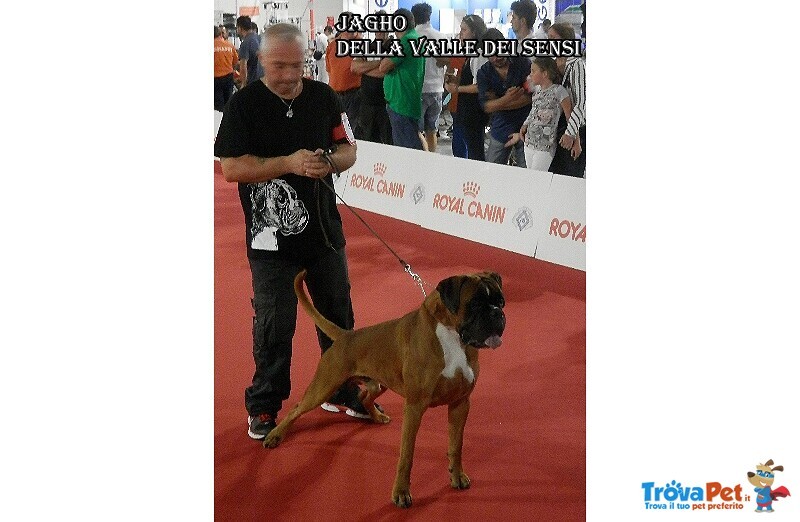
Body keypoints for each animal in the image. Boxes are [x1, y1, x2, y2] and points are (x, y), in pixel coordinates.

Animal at [264, 270, 506, 506]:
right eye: (474, 304)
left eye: (501, 302)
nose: (498, 314)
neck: (452, 335)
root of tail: (346, 335)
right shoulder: (414, 407)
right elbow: (406, 455)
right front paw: (401, 493)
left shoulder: (460, 403)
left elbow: (456, 445)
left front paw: (457, 476)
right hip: (324, 386)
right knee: (297, 408)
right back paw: (275, 436)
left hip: (379, 383)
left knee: (363, 396)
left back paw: (377, 416)